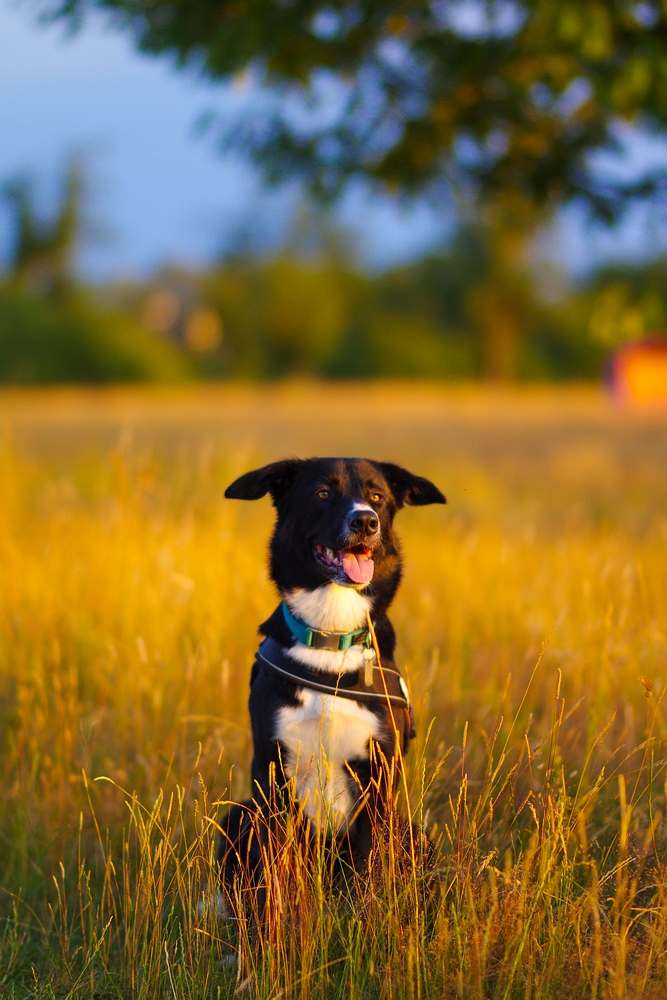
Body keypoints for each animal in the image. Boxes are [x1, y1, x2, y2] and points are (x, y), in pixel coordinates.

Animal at [219, 460, 448, 900]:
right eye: (323, 493)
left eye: (377, 496)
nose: (365, 521)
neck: (331, 637)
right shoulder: (272, 777)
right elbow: (278, 883)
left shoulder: (379, 779)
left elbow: (372, 877)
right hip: (238, 815)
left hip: (411, 830)